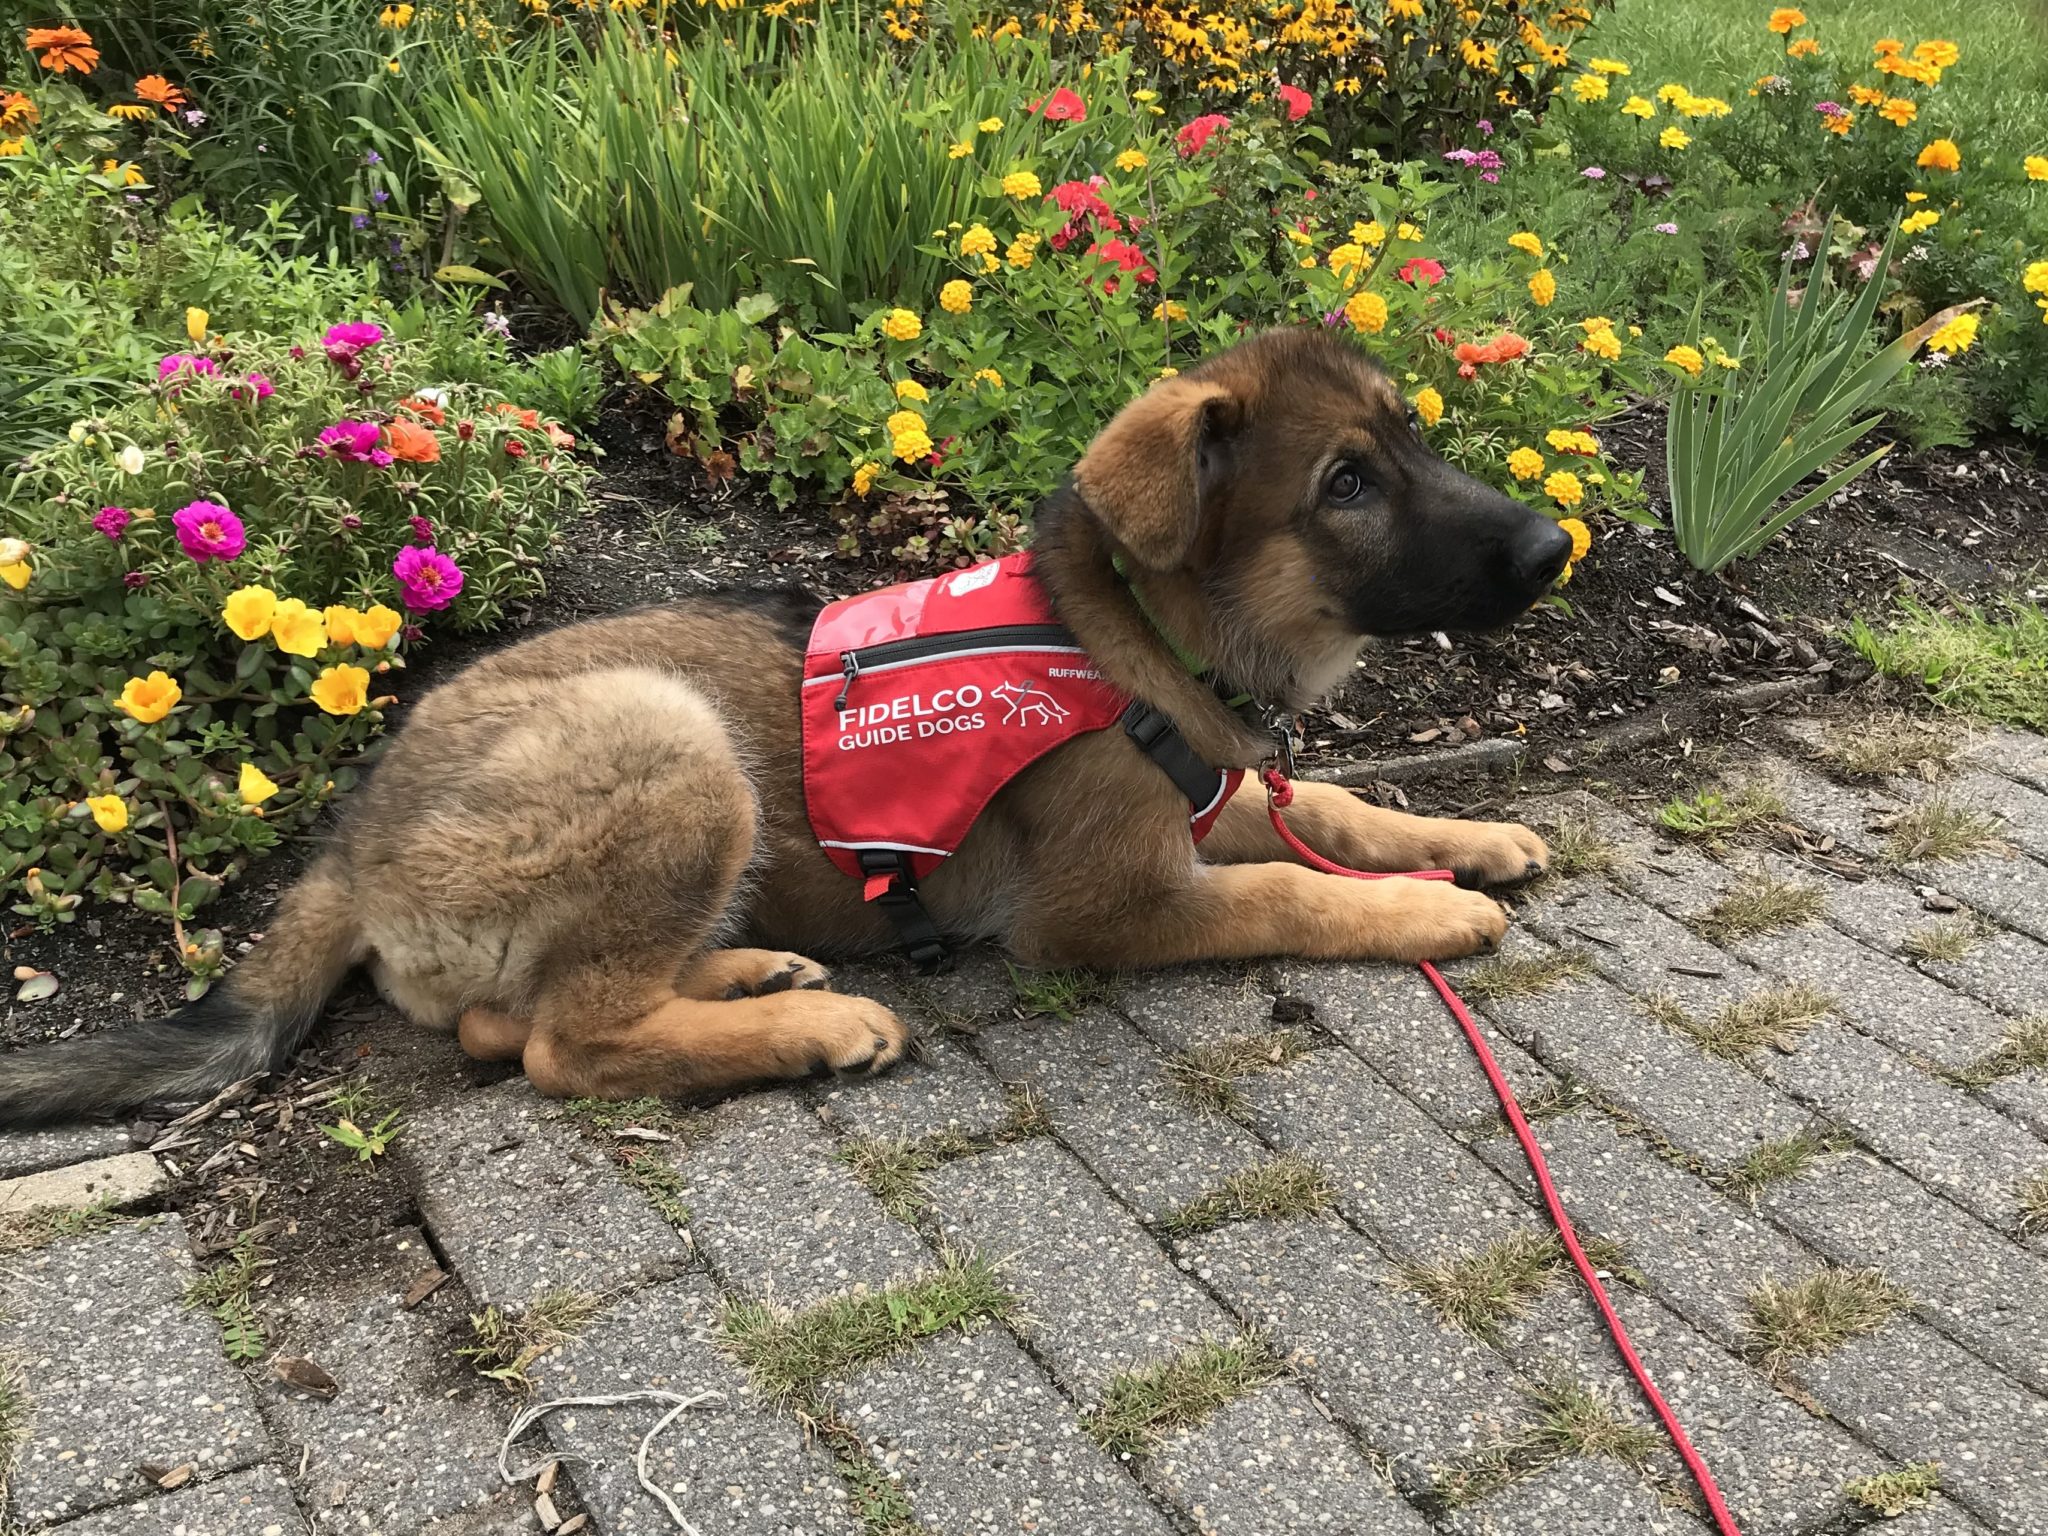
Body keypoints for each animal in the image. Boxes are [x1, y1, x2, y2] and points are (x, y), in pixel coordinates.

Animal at [0, 333, 1572, 1130]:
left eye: (1415, 440)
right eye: (1347, 482)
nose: (1561, 545)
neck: (1133, 630)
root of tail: (344, 846)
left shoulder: (1208, 789)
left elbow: (1342, 810)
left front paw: (1468, 835)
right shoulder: (1104, 908)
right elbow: (1288, 891)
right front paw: (1425, 913)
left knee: (528, 1016)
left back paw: (751, 971)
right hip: (671, 745)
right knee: (558, 1043)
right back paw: (808, 1026)